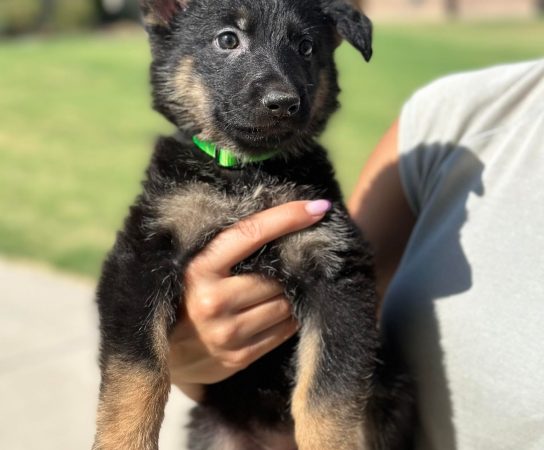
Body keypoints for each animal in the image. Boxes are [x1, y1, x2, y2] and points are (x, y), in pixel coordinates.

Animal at [93, 0, 410, 450]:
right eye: (228, 39)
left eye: (306, 46)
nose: (283, 102)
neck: (247, 174)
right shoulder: (142, 254)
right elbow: (136, 372)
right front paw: (123, 439)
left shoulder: (337, 273)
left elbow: (327, 395)